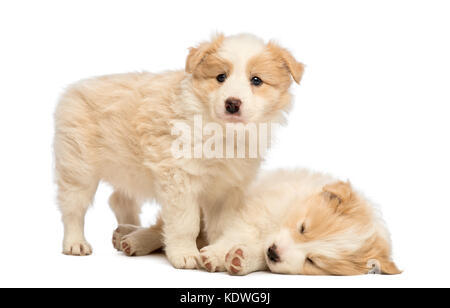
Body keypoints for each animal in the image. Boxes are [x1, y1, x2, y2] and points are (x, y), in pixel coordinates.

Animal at [54, 33, 304, 268]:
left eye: (256, 80)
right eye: (220, 77)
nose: (232, 103)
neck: (220, 131)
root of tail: (75, 87)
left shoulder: (227, 188)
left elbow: (223, 228)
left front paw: (218, 254)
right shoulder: (179, 178)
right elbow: (187, 223)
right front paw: (185, 255)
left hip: (126, 169)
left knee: (118, 200)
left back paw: (130, 231)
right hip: (78, 165)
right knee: (73, 207)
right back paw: (76, 243)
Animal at [113, 170, 400, 276]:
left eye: (313, 262)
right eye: (302, 228)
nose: (274, 252)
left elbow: (252, 254)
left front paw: (238, 259)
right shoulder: (251, 214)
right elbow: (233, 235)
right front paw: (216, 255)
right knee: (164, 229)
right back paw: (131, 238)